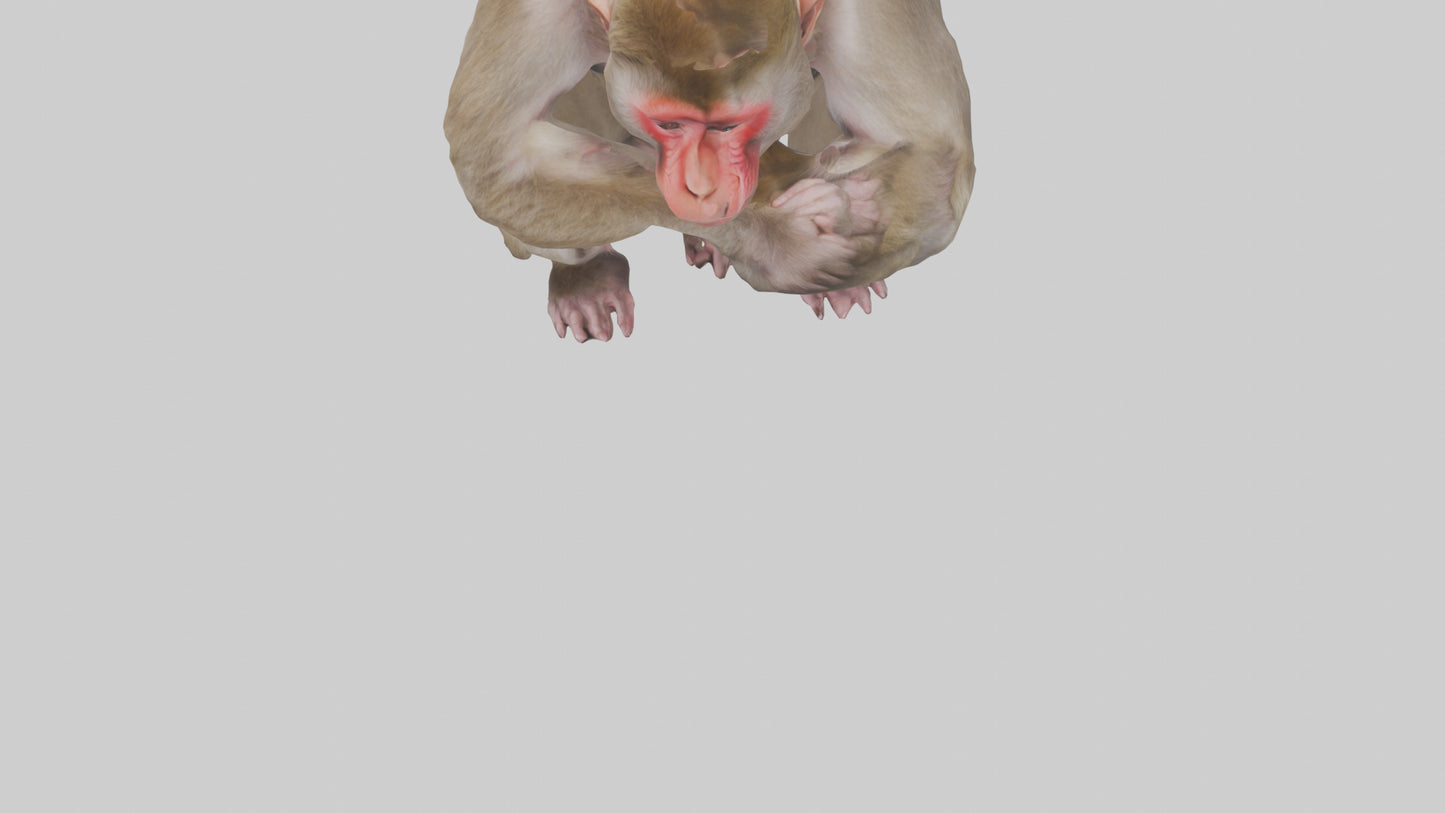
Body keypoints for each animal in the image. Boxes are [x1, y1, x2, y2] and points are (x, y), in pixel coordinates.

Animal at [444, 0, 973, 341]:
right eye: (669, 123)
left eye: (728, 126)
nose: (700, 188)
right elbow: (496, 152)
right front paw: (780, 245)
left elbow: (931, 144)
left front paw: (844, 208)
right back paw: (587, 278)